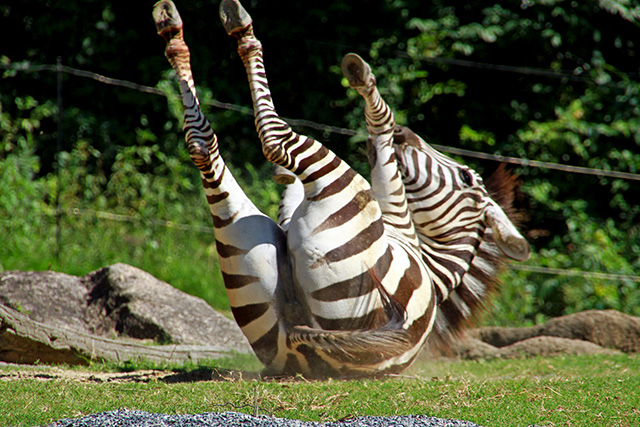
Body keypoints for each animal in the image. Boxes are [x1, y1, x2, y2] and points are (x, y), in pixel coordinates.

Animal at [152, 0, 528, 378]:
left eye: (466, 177)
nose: (406, 135)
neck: (434, 274)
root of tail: (305, 348)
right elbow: (294, 194)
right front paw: (285, 177)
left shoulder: (394, 211)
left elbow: (381, 139)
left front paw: (368, 90)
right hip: (248, 252)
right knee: (206, 148)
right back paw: (176, 32)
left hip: (335, 193)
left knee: (266, 140)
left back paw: (223, 30)